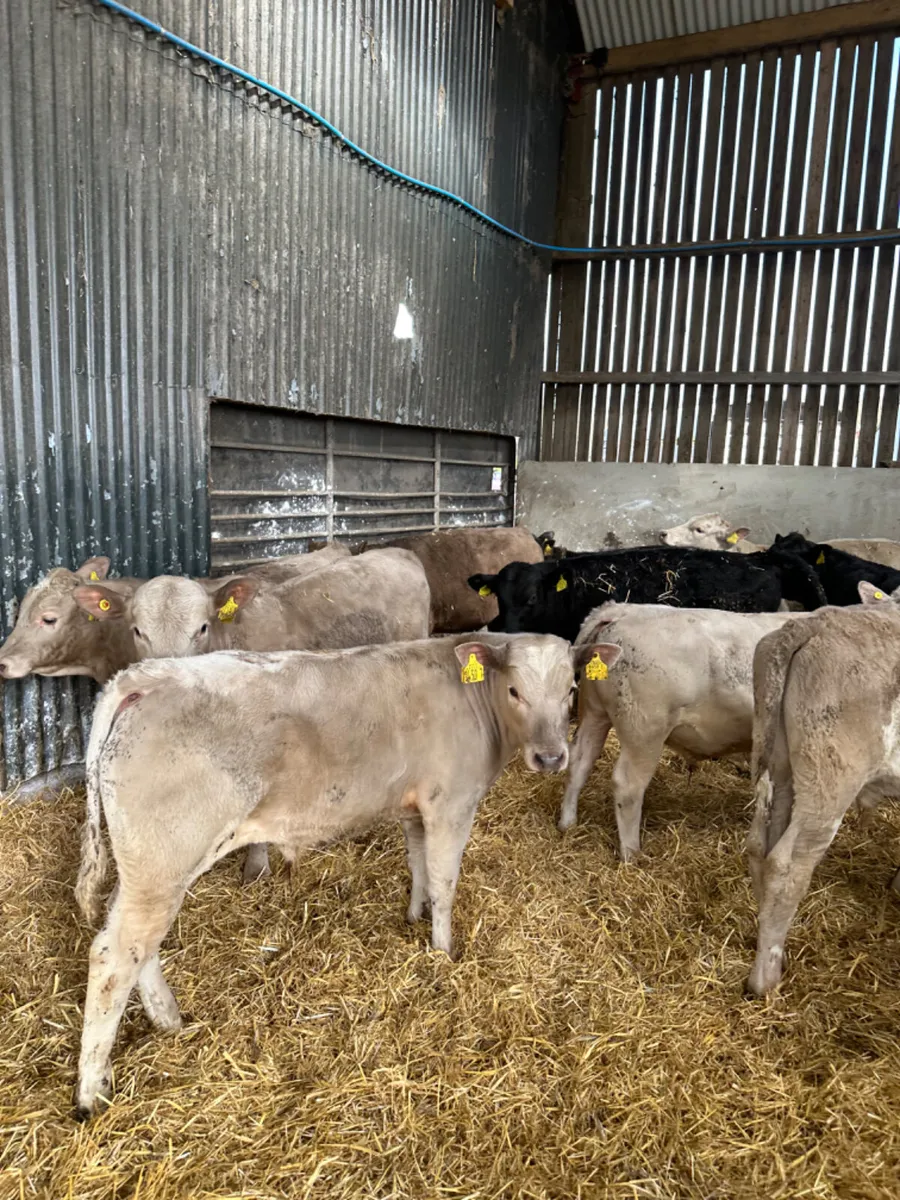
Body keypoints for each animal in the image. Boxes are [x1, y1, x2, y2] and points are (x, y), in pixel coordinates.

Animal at [71, 630, 611, 1117]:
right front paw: (444, 952)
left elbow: (417, 862)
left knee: (137, 944)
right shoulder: (451, 804)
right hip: (164, 859)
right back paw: (92, 1092)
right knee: (114, 955)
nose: (551, 757)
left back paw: (168, 1020)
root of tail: (145, 677)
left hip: (147, 865)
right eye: (515, 690)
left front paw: (413, 915)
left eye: (571, 689)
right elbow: (444, 879)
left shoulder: (413, 806)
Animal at [745, 604, 900, 997]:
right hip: (828, 783)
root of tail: (815, 622)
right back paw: (764, 978)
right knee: (786, 866)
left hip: (784, 768)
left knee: (760, 847)